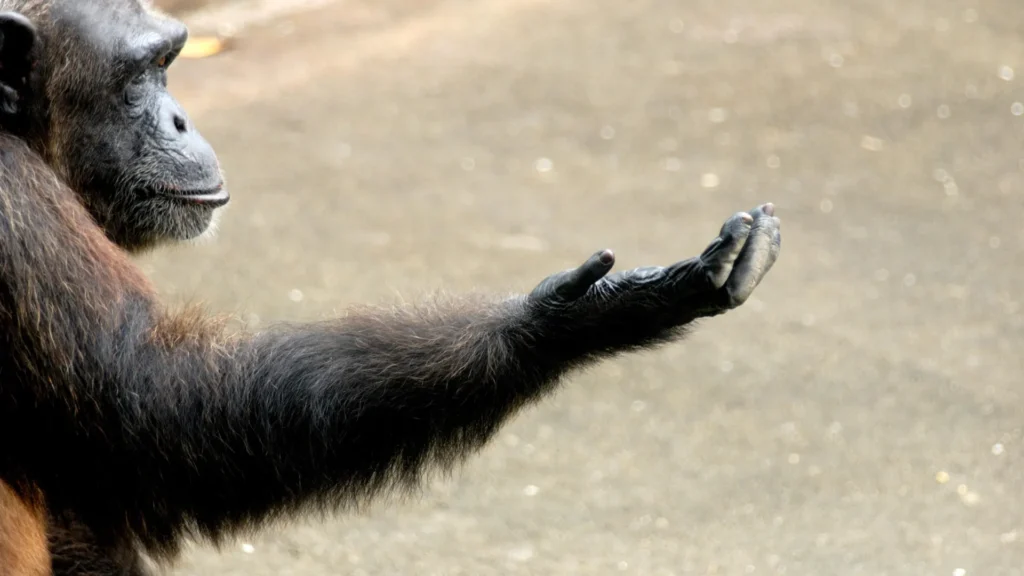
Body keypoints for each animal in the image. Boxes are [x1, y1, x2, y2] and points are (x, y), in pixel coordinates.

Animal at [0, 0, 782, 574]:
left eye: (169, 61)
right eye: (140, 73)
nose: (180, 117)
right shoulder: (12, 205)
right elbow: (154, 399)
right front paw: (570, 319)